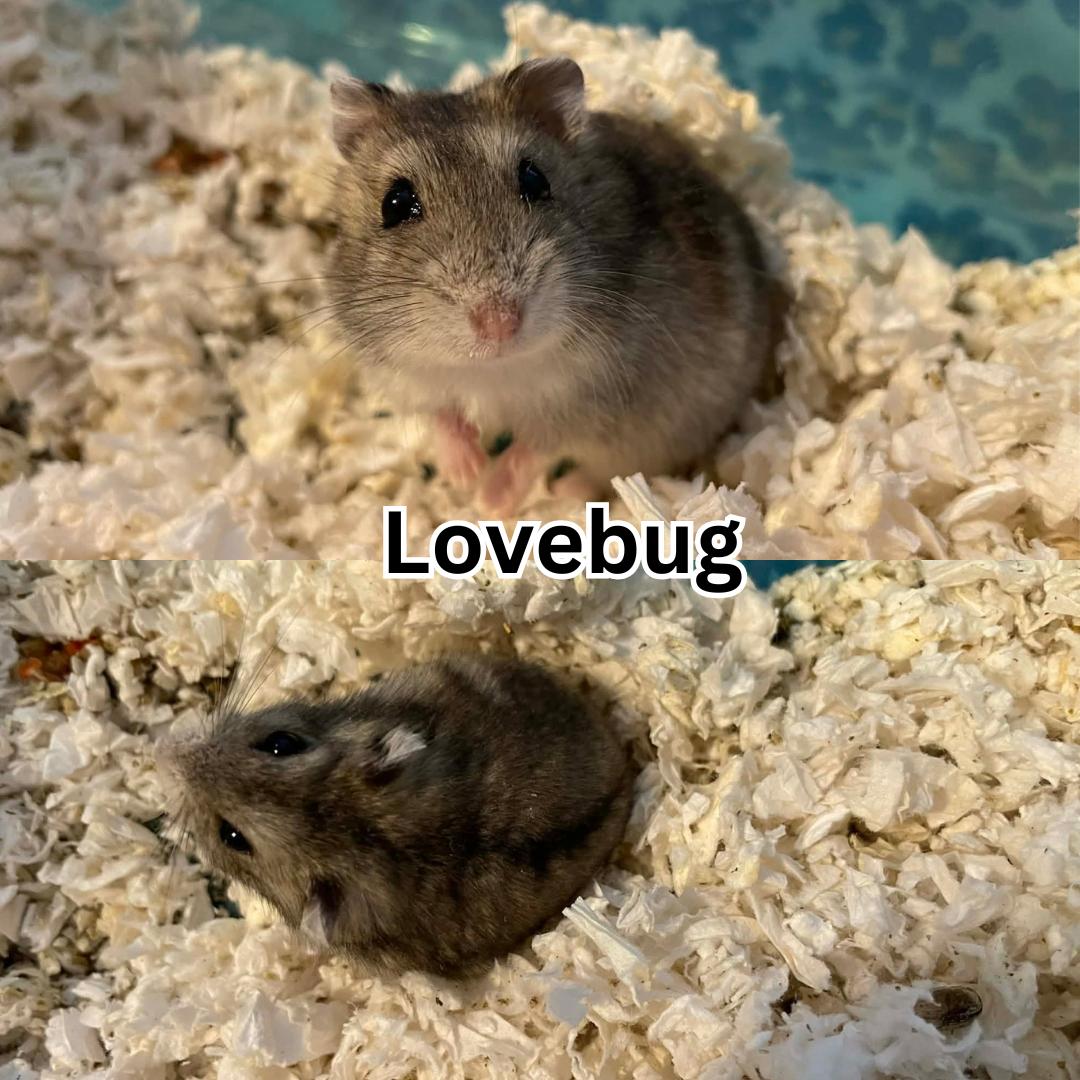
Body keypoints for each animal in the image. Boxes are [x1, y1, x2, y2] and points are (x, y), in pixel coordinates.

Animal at [328, 57, 789, 513]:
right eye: (395, 203)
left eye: (535, 180)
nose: (500, 322)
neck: (493, 369)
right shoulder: (408, 379)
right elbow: (446, 418)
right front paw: (465, 474)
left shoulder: (593, 400)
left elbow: (534, 449)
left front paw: (489, 501)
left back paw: (565, 492)